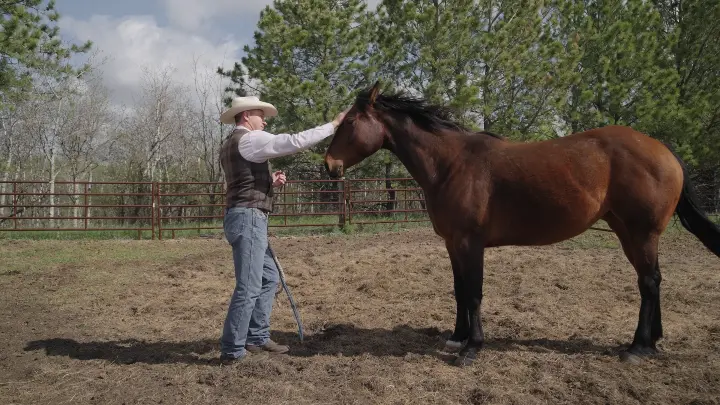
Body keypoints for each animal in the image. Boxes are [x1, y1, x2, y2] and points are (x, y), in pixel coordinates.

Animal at [323, 81, 720, 367]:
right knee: (652, 280)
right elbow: (459, 290)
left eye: (350, 122)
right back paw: (652, 341)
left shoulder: (470, 243)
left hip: (641, 233)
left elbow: (474, 293)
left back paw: (637, 348)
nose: (329, 165)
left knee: (649, 282)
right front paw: (457, 337)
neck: (452, 163)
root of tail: (663, 150)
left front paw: (472, 349)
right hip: (628, 232)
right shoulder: (452, 243)